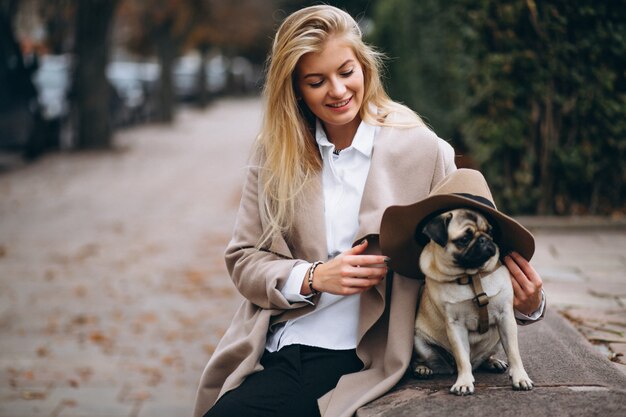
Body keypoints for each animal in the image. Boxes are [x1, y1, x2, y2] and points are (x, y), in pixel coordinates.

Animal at [412, 207, 528, 394]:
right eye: (464, 239)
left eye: (490, 232)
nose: (484, 239)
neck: (473, 277)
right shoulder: (455, 325)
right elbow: (462, 358)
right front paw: (464, 382)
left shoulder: (506, 317)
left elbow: (513, 352)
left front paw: (520, 377)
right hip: (419, 343)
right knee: (428, 360)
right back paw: (422, 369)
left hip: (497, 340)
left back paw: (493, 362)